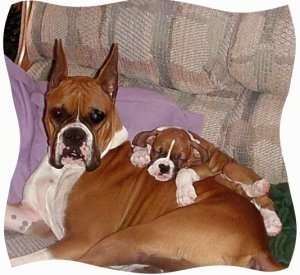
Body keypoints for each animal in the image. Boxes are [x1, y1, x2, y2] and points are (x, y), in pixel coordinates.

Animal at [130, 127, 282, 237]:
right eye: (158, 151)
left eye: (180, 158)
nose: (164, 167)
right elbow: (139, 144)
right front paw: (139, 155)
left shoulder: (208, 166)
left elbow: (183, 172)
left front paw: (184, 194)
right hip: (223, 177)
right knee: (242, 190)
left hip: (229, 167)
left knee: (264, 199)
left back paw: (270, 218)